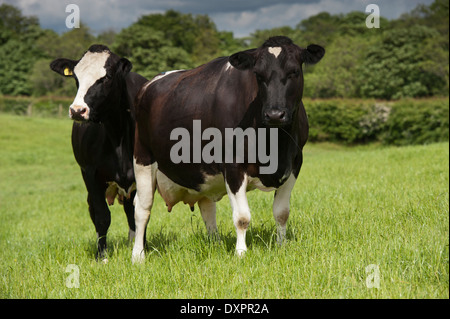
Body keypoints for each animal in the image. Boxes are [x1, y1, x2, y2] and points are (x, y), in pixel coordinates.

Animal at [49, 43, 148, 262]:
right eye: (76, 78)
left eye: (106, 77)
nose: (77, 110)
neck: (117, 134)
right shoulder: (90, 173)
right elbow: (102, 216)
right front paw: (101, 255)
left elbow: (141, 210)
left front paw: (142, 248)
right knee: (96, 211)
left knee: (130, 210)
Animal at [130, 36, 324, 264]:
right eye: (258, 75)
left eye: (294, 71)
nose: (275, 114)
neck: (275, 143)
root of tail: (148, 84)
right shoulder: (232, 165)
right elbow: (242, 217)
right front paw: (241, 253)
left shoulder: (294, 163)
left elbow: (282, 212)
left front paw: (281, 246)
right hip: (142, 157)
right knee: (142, 208)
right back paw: (138, 255)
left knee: (207, 208)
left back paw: (215, 244)